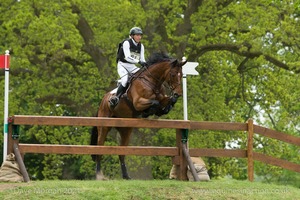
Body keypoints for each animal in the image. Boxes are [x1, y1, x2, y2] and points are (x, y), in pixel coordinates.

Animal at [90, 51, 186, 180]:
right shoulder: (138, 102)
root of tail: (103, 101)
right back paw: (99, 175)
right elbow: (155, 103)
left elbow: (167, 101)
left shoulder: (162, 98)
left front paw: (164, 108)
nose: (178, 93)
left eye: (182, 75)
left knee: (121, 153)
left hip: (126, 130)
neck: (152, 82)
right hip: (104, 127)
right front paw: (148, 112)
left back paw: (126, 176)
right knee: (99, 149)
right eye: (173, 74)